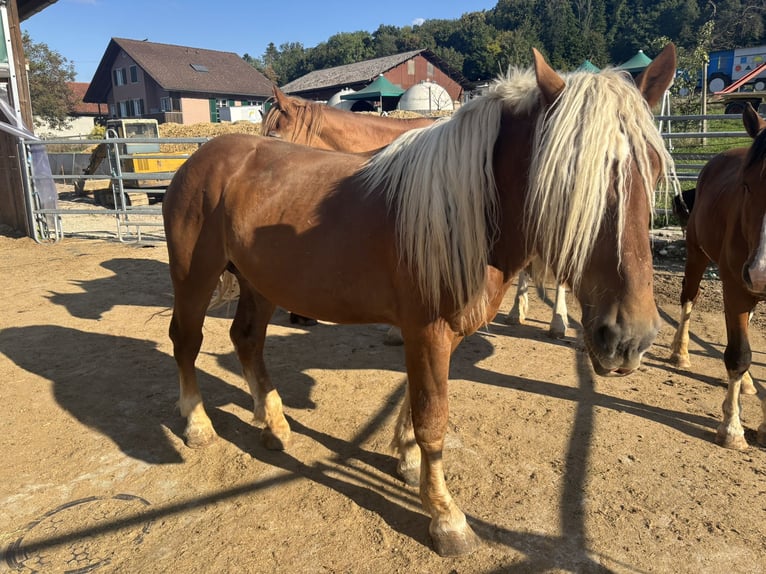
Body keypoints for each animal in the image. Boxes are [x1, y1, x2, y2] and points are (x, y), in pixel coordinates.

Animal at [669, 102, 766, 450]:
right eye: (747, 184)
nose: (761, 272)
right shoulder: (736, 287)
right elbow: (738, 355)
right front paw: (732, 428)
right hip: (697, 255)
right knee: (689, 298)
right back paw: (680, 353)